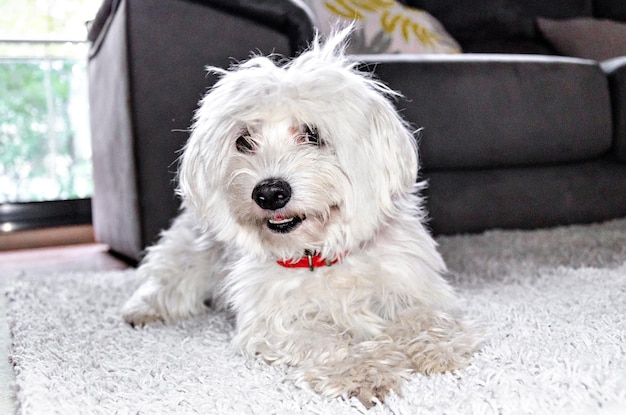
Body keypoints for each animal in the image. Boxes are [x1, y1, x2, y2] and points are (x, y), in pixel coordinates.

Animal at [124, 27, 480, 408]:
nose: (269, 194)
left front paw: (438, 350)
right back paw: (142, 311)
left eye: (312, 135)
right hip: (192, 255)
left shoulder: (414, 286)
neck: (320, 254)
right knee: (166, 279)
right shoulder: (278, 320)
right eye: (243, 141)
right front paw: (363, 373)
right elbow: (328, 341)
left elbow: (425, 317)